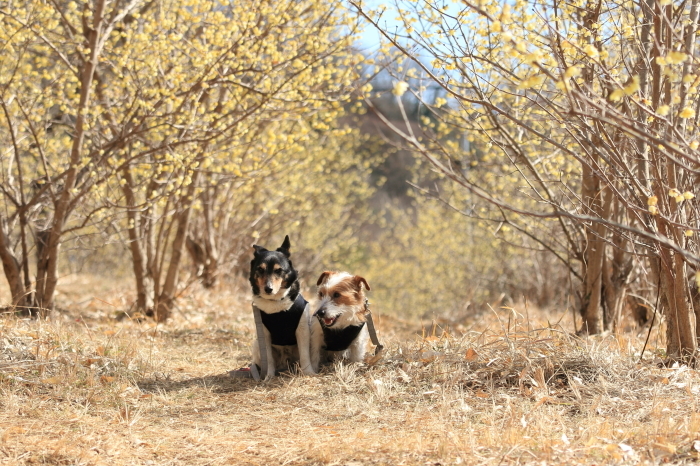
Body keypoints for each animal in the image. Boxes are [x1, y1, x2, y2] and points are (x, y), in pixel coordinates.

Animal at [249, 237, 314, 378]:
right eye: (260, 270)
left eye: (278, 270)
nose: (268, 289)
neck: (276, 302)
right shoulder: (264, 334)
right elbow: (268, 359)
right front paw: (268, 377)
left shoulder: (302, 330)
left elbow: (305, 355)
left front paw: (308, 372)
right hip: (257, 344)